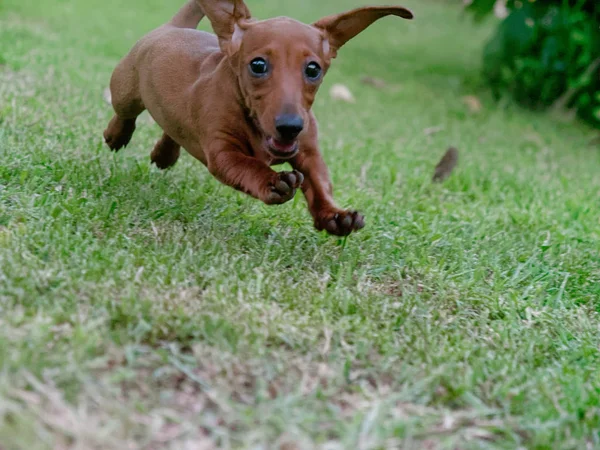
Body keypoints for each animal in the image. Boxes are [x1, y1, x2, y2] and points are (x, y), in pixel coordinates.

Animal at [104, 0, 412, 236]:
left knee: (172, 128)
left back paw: (164, 154)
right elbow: (247, 166)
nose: (290, 127)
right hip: (125, 92)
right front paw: (272, 181)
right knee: (125, 114)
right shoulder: (223, 153)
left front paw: (335, 216)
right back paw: (116, 135)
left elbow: (319, 183)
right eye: (258, 65)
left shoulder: (308, 152)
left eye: (313, 69)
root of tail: (171, 27)